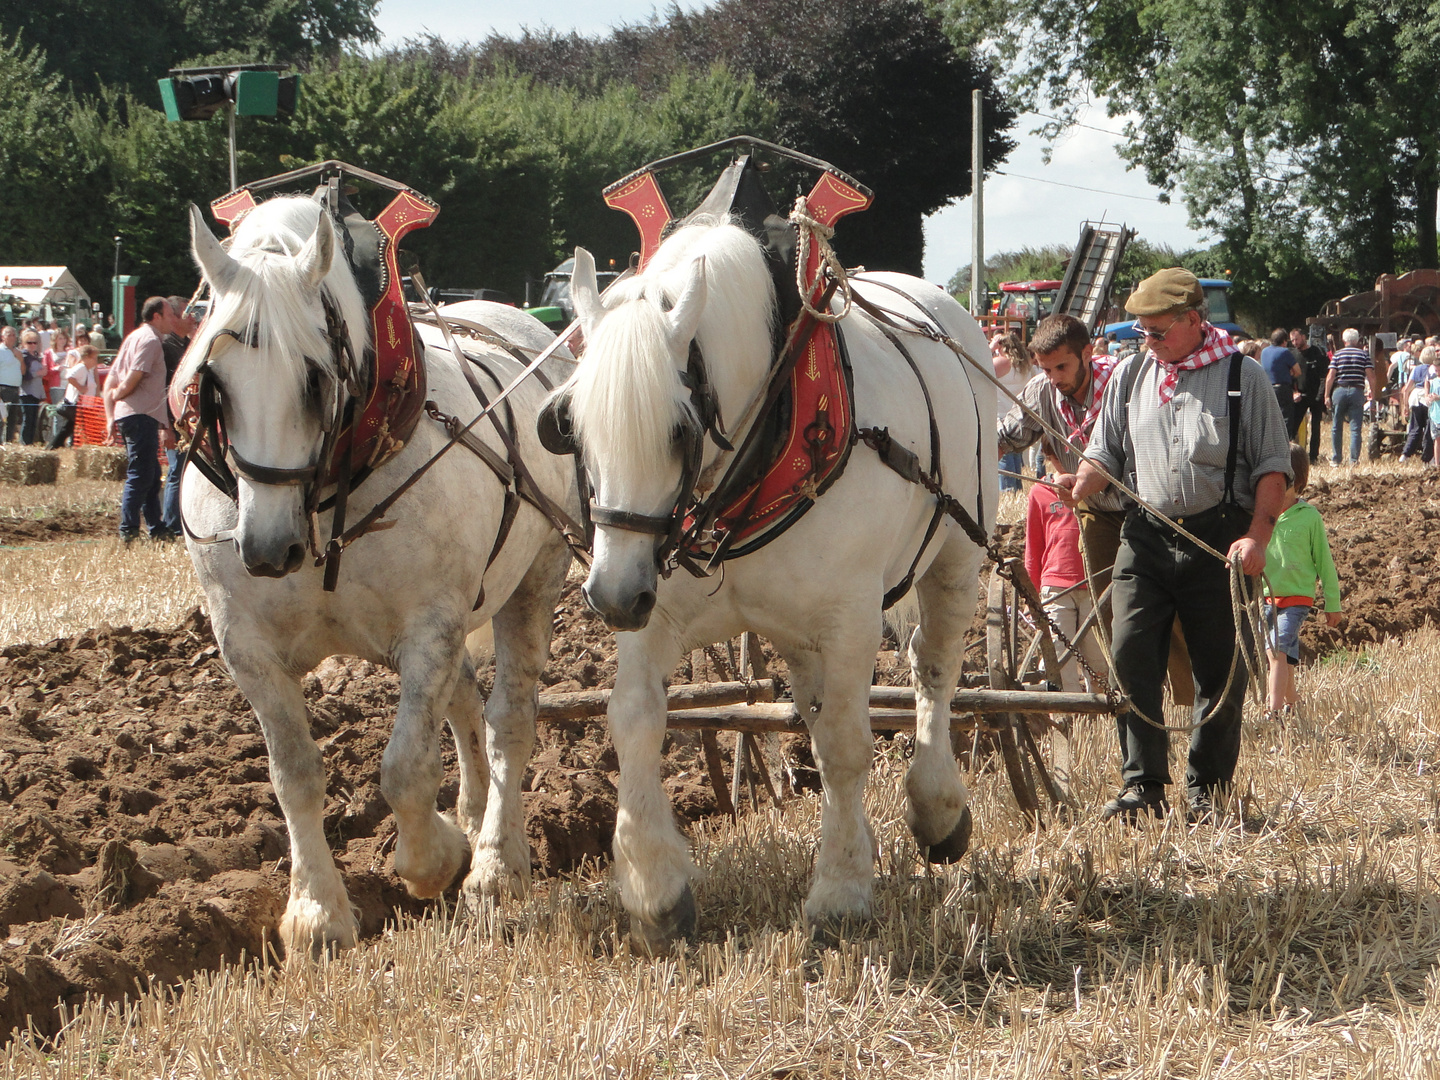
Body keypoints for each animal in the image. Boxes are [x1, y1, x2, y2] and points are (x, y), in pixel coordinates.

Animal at [180, 197, 578, 956]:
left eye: (314, 377)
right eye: (213, 380)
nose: (267, 549)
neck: (328, 491)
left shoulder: (429, 626)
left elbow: (404, 769)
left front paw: (434, 861)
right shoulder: (246, 647)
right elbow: (295, 775)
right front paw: (316, 915)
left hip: (533, 581)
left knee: (507, 718)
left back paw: (495, 864)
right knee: (466, 702)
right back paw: (473, 815)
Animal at [544, 224, 996, 950]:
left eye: (679, 429)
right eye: (573, 425)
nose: (611, 595)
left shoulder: (851, 618)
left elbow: (846, 744)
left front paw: (840, 892)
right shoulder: (655, 602)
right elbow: (635, 720)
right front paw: (653, 889)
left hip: (956, 553)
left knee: (934, 668)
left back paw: (937, 807)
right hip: (791, 626)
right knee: (814, 703)